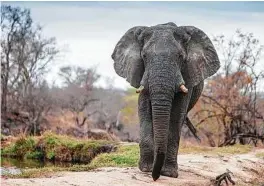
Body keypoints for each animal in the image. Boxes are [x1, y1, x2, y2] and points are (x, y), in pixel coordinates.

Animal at [111, 22, 221, 181]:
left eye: (180, 56)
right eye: (144, 56)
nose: (154, 177)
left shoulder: (187, 75)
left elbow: (176, 116)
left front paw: (168, 173)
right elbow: (144, 111)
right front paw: (146, 169)